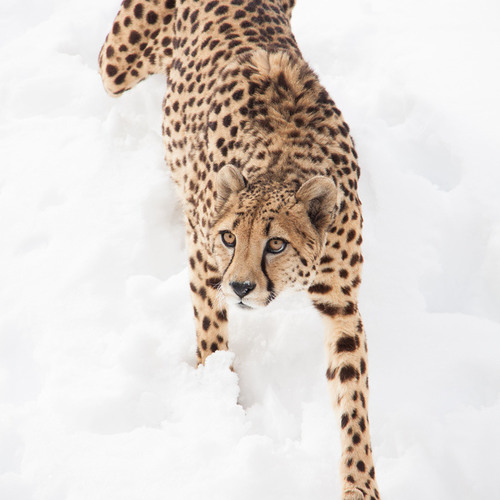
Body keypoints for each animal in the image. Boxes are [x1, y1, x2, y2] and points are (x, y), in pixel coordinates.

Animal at [99, 1, 380, 498]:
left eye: (276, 244)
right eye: (230, 237)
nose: (243, 288)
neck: (282, 164)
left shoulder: (342, 303)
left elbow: (353, 396)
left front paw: (359, 482)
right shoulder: (203, 254)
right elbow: (211, 331)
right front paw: (218, 401)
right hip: (118, 63)